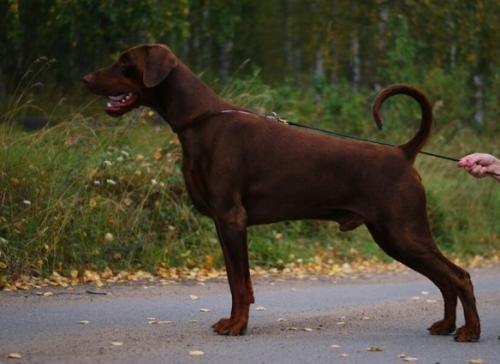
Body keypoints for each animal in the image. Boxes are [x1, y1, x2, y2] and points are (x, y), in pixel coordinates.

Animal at [83, 42, 480, 342]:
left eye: (125, 61)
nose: (86, 78)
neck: (199, 121)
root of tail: (402, 152)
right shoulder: (222, 224)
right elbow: (236, 280)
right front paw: (234, 322)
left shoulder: (231, 217)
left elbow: (240, 284)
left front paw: (237, 327)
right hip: (393, 236)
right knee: (445, 279)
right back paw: (446, 326)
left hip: (402, 231)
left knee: (458, 276)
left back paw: (469, 332)